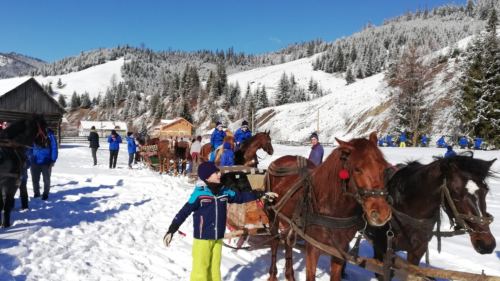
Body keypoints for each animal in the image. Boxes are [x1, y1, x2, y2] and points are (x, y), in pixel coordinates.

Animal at [268, 132, 392, 280]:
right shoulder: (312, 248)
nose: (382, 213)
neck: (333, 209)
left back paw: (290, 275)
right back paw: (272, 275)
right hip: (273, 216)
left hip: (289, 222)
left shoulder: (340, 251)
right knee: (274, 242)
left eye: (384, 168)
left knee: (288, 243)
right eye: (357, 169)